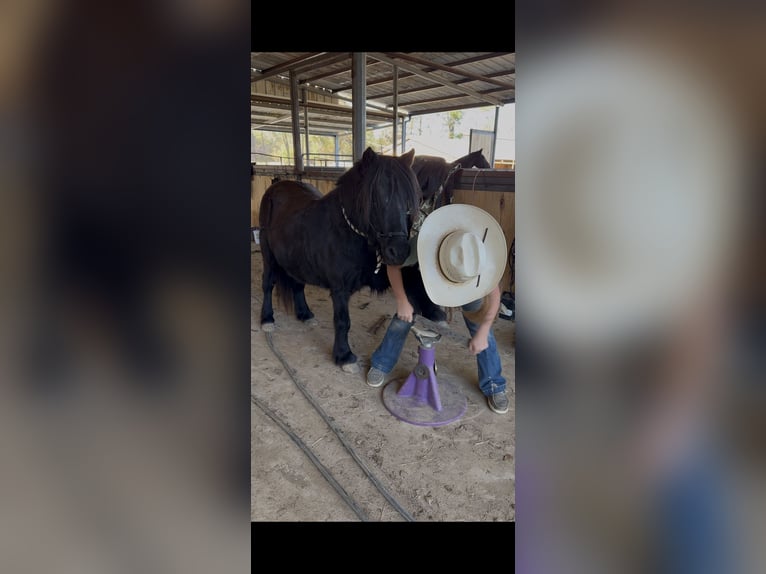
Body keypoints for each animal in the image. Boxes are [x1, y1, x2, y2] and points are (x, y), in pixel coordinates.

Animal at [259, 147, 421, 372]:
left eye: (407, 200)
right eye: (375, 199)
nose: (399, 252)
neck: (348, 231)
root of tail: (275, 187)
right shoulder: (340, 289)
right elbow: (343, 321)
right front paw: (344, 356)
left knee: (297, 283)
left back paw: (305, 314)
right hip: (268, 255)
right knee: (268, 283)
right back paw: (267, 319)